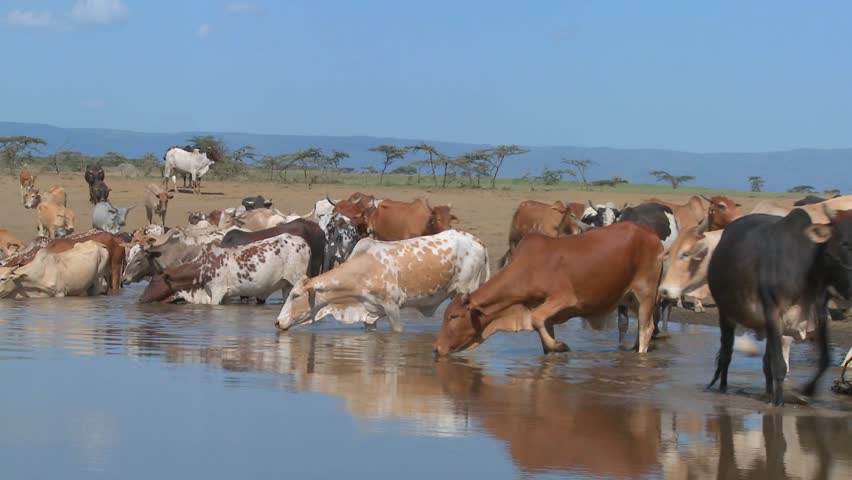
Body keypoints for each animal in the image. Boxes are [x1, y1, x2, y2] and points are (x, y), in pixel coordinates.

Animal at [139, 233, 311, 305]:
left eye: (154, 281)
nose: (141, 298)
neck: (202, 266)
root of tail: (304, 243)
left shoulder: (217, 291)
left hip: (297, 278)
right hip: (287, 285)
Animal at [276, 230, 490, 333]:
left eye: (295, 295)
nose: (277, 323)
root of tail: (477, 241)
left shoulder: (392, 307)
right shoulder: (371, 313)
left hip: (467, 290)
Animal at [434, 222, 664, 355]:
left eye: (454, 317)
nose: (437, 349)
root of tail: (650, 234)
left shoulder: (564, 298)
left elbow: (536, 319)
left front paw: (560, 346)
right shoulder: (546, 314)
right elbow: (541, 329)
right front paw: (554, 348)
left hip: (646, 292)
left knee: (647, 328)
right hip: (629, 297)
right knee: (643, 326)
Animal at [706, 205, 852, 406]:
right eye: (844, 243)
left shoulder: (819, 312)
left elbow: (825, 359)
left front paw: (807, 391)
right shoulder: (773, 312)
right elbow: (780, 365)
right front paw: (780, 403)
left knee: (766, 361)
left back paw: (768, 392)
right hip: (726, 312)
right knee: (726, 353)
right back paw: (723, 389)